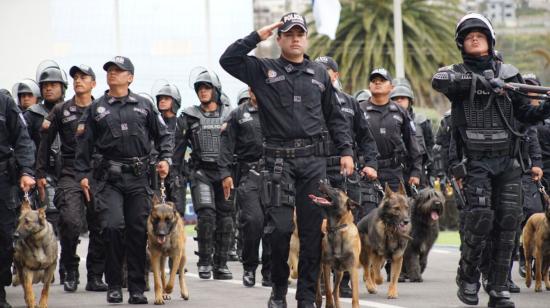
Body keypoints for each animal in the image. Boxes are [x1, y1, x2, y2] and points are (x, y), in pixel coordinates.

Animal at [310, 180, 362, 308]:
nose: (321, 181)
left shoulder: (352, 269)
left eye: (336, 190)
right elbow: (328, 290)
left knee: (336, 291)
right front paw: (329, 304)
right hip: (321, 268)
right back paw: (319, 299)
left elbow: (354, 297)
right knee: (320, 286)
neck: (337, 229)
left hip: (340, 272)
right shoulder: (326, 265)